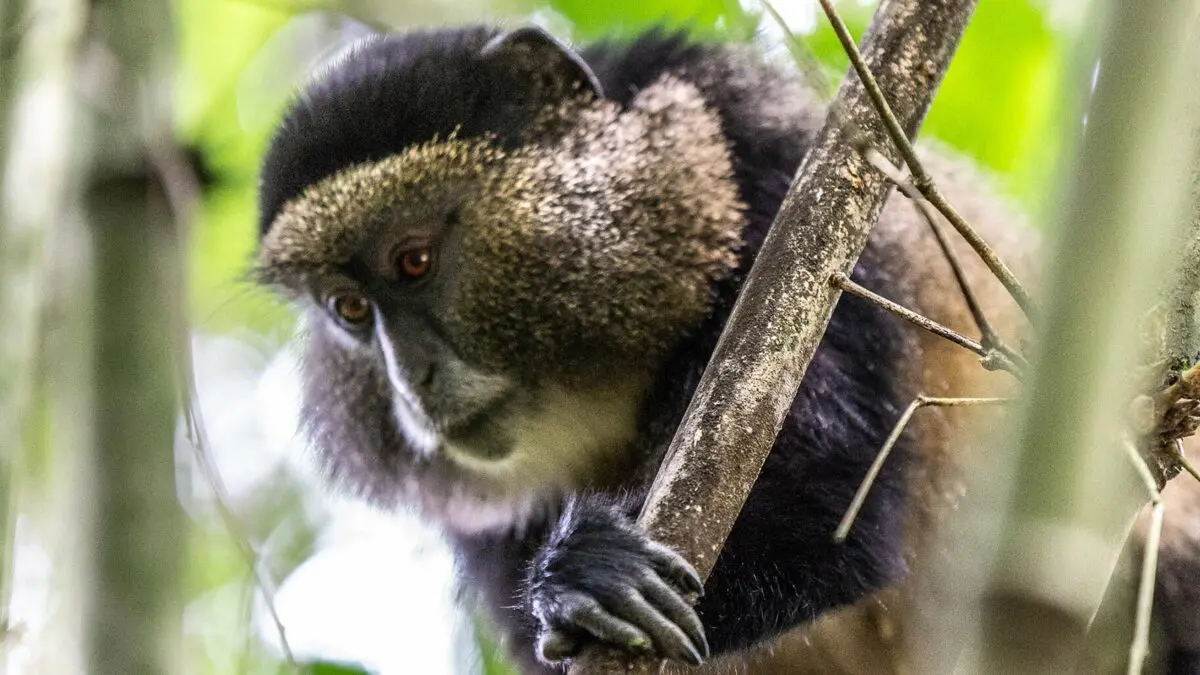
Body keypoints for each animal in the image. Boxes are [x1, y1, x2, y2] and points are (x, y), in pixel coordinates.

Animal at [253, 24, 1200, 674]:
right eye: (348, 310)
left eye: (412, 260)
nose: (410, 380)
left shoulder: (787, 201)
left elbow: (826, 519)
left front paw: (585, 577)